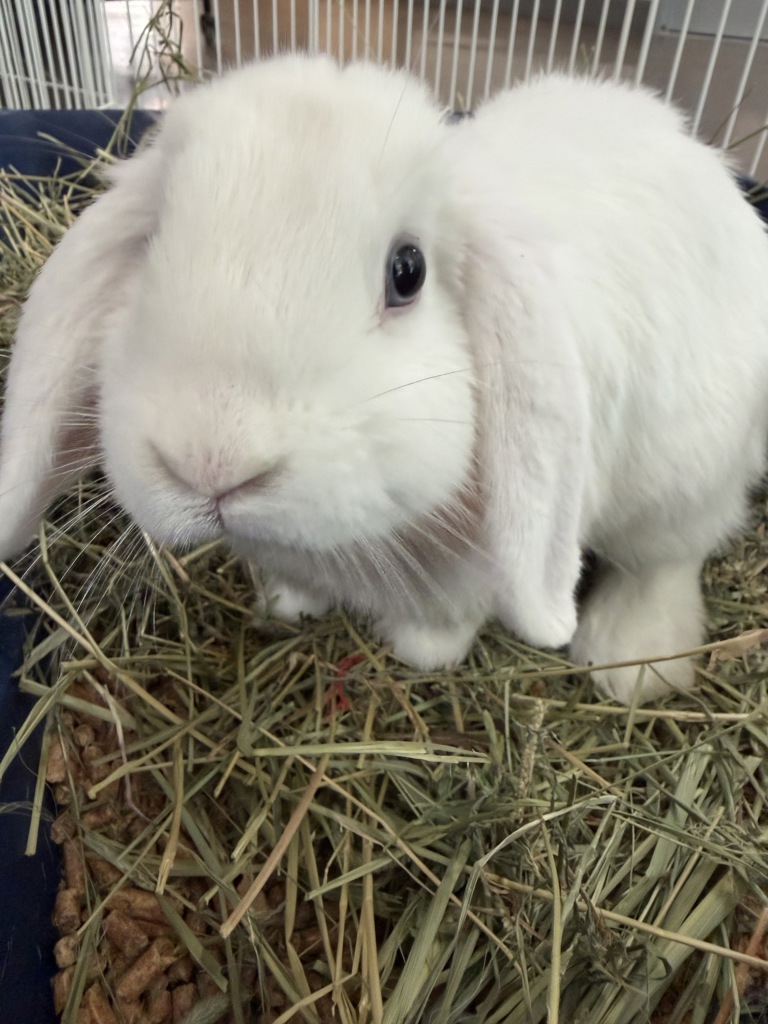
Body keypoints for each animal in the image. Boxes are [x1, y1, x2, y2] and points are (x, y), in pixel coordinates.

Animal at [1, 55, 767, 705]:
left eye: (408, 272)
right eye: (152, 240)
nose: (209, 464)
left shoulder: (476, 565)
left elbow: (449, 615)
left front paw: (422, 651)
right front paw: (285, 603)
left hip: (680, 483)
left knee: (666, 561)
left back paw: (629, 665)